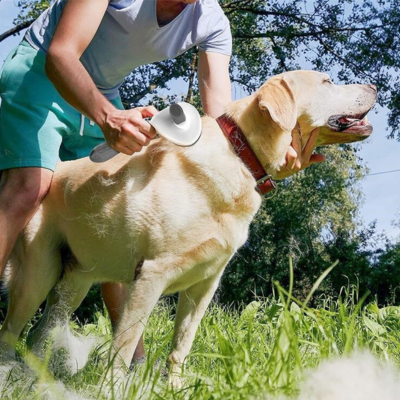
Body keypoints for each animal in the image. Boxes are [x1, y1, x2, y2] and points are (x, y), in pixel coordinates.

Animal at [0, 70, 376, 382]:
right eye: (327, 82)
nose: (374, 87)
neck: (240, 154)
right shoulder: (150, 276)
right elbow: (124, 345)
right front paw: (113, 388)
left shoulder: (204, 285)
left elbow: (181, 345)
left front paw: (175, 386)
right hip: (37, 275)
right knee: (11, 330)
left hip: (73, 285)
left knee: (40, 334)